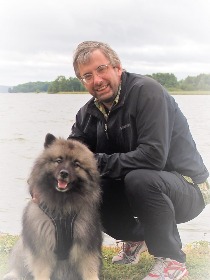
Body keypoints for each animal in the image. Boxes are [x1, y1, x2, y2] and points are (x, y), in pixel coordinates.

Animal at [2, 133, 102, 280]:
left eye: (76, 164)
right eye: (58, 160)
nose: (64, 173)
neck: (62, 207)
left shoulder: (86, 246)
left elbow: (89, 270)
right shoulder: (42, 247)